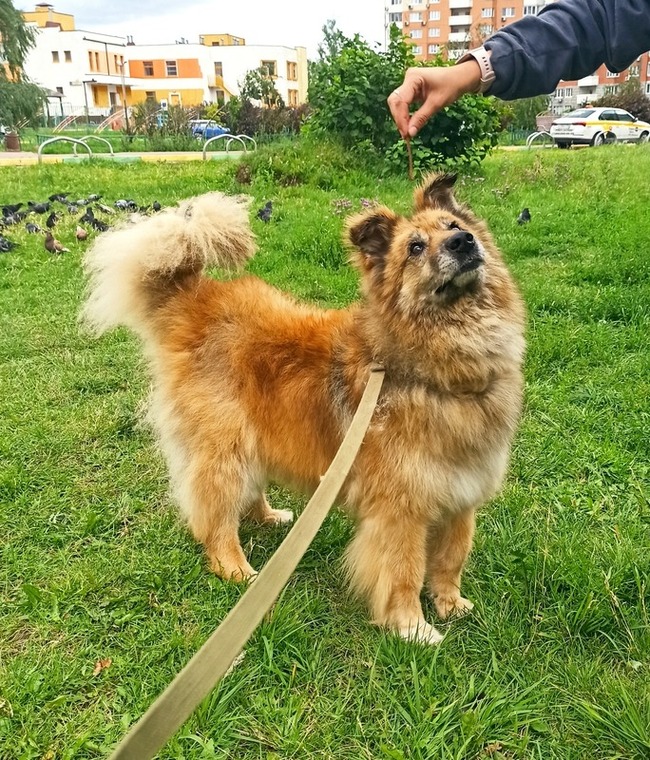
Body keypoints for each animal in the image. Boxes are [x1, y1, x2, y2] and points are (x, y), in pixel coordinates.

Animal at [82, 175, 528, 644]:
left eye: (454, 225)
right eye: (415, 248)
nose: (463, 242)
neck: (438, 369)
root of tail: (194, 297)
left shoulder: (461, 499)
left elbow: (449, 560)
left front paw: (450, 604)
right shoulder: (400, 511)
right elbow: (403, 573)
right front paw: (413, 629)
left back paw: (269, 518)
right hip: (225, 448)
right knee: (215, 516)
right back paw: (235, 568)